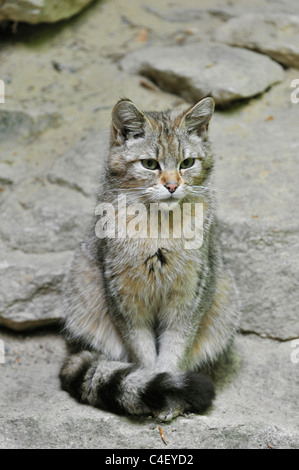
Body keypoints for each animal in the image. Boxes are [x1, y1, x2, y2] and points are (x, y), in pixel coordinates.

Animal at [59, 97, 240, 420]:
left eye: (187, 163)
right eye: (149, 164)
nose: (172, 185)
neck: (159, 229)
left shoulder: (190, 296)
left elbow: (174, 352)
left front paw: (171, 399)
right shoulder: (125, 299)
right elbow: (143, 355)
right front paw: (154, 390)